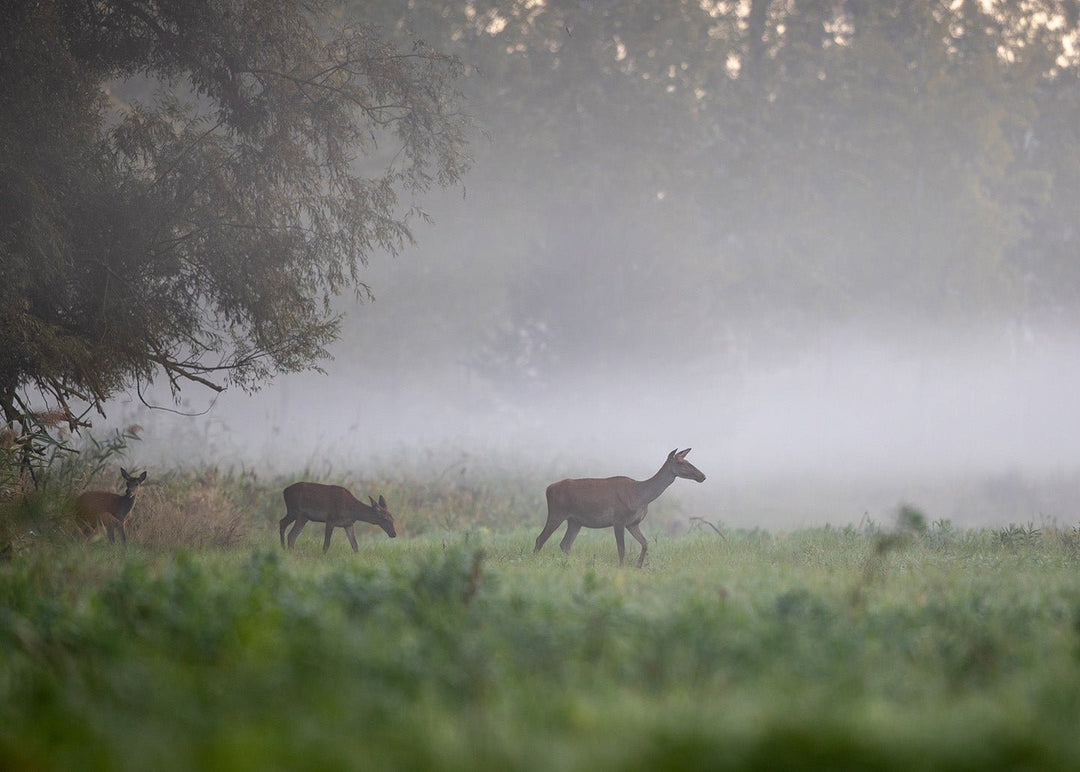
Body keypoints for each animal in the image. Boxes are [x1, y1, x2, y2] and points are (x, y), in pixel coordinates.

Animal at [533, 449, 704, 570]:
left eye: (688, 460)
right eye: (681, 463)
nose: (702, 475)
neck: (640, 496)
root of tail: (548, 489)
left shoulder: (633, 523)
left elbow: (645, 543)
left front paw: (638, 566)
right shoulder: (618, 519)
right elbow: (621, 548)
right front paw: (621, 568)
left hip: (575, 521)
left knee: (565, 544)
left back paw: (570, 564)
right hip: (557, 512)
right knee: (541, 538)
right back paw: (534, 561)